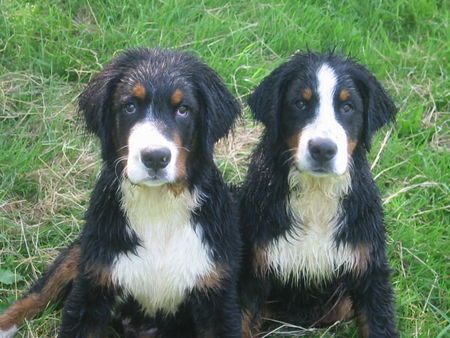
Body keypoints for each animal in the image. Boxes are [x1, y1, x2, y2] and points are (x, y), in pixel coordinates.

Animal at [0, 47, 243, 338]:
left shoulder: (215, 291)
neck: (158, 208)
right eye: (130, 106)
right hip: (79, 251)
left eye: (183, 109)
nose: (155, 157)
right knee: (37, 294)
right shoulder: (94, 284)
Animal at [239, 51, 398, 336]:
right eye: (300, 103)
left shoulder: (367, 266)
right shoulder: (253, 267)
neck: (316, 193)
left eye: (347, 107)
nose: (323, 149)